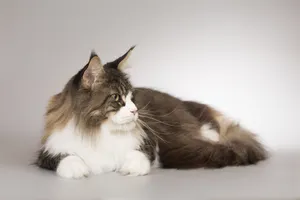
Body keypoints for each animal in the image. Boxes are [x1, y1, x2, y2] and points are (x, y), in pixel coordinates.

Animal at [35, 46, 268, 178]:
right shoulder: (46, 152)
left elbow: (141, 156)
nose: (136, 111)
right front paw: (78, 169)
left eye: (132, 97)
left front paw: (130, 168)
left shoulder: (149, 143)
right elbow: (66, 158)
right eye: (117, 98)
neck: (99, 132)